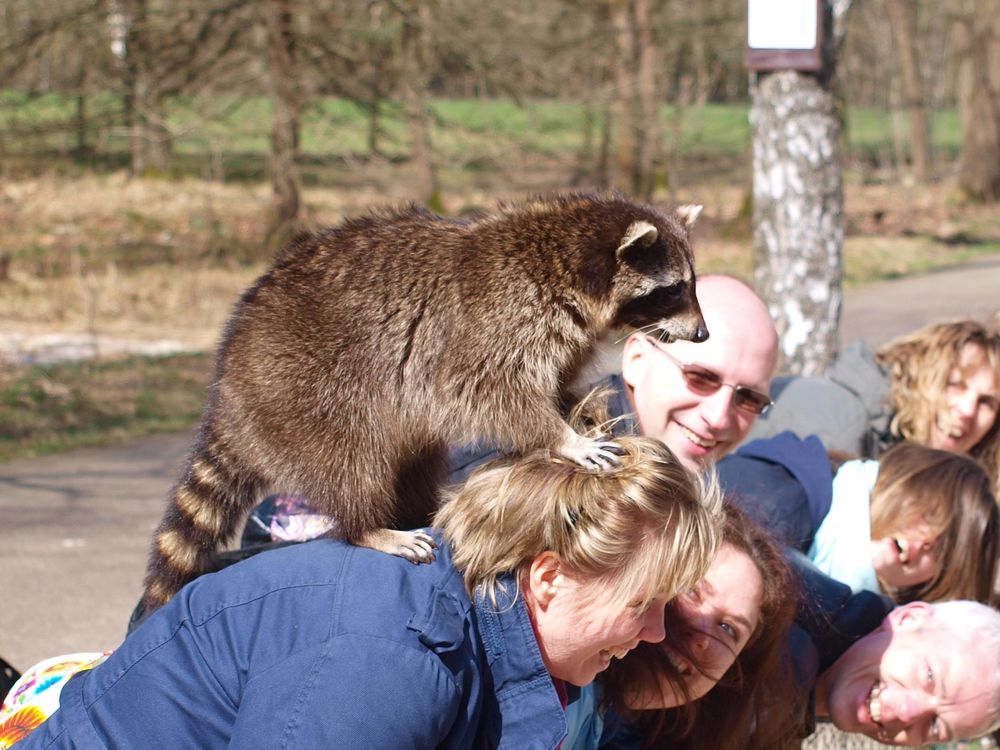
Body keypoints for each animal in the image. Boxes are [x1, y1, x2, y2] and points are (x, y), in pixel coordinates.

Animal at [143, 192, 712, 612]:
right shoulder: (494, 323)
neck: (565, 263)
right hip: (307, 389)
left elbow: (555, 385)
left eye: (692, 284)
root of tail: (228, 390)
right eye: (673, 288)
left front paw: (579, 411)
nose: (704, 334)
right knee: (354, 456)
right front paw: (563, 437)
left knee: (412, 459)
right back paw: (367, 526)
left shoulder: (559, 336)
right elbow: (493, 394)